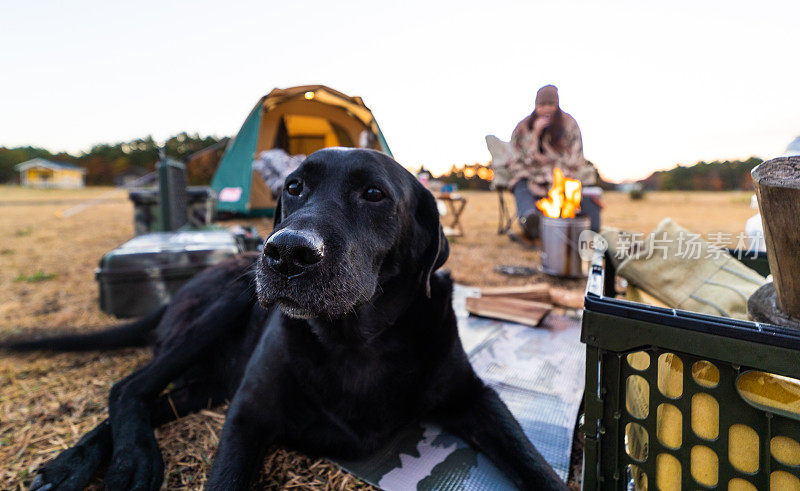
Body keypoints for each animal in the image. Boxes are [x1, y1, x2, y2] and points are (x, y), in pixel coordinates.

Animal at [9, 149, 564, 491]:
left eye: (374, 194)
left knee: (156, 397)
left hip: (212, 381)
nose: (286, 253)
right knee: (129, 387)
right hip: (223, 310)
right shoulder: (247, 413)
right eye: (294, 187)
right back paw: (118, 461)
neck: (354, 340)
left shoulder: (473, 396)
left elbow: (532, 459)